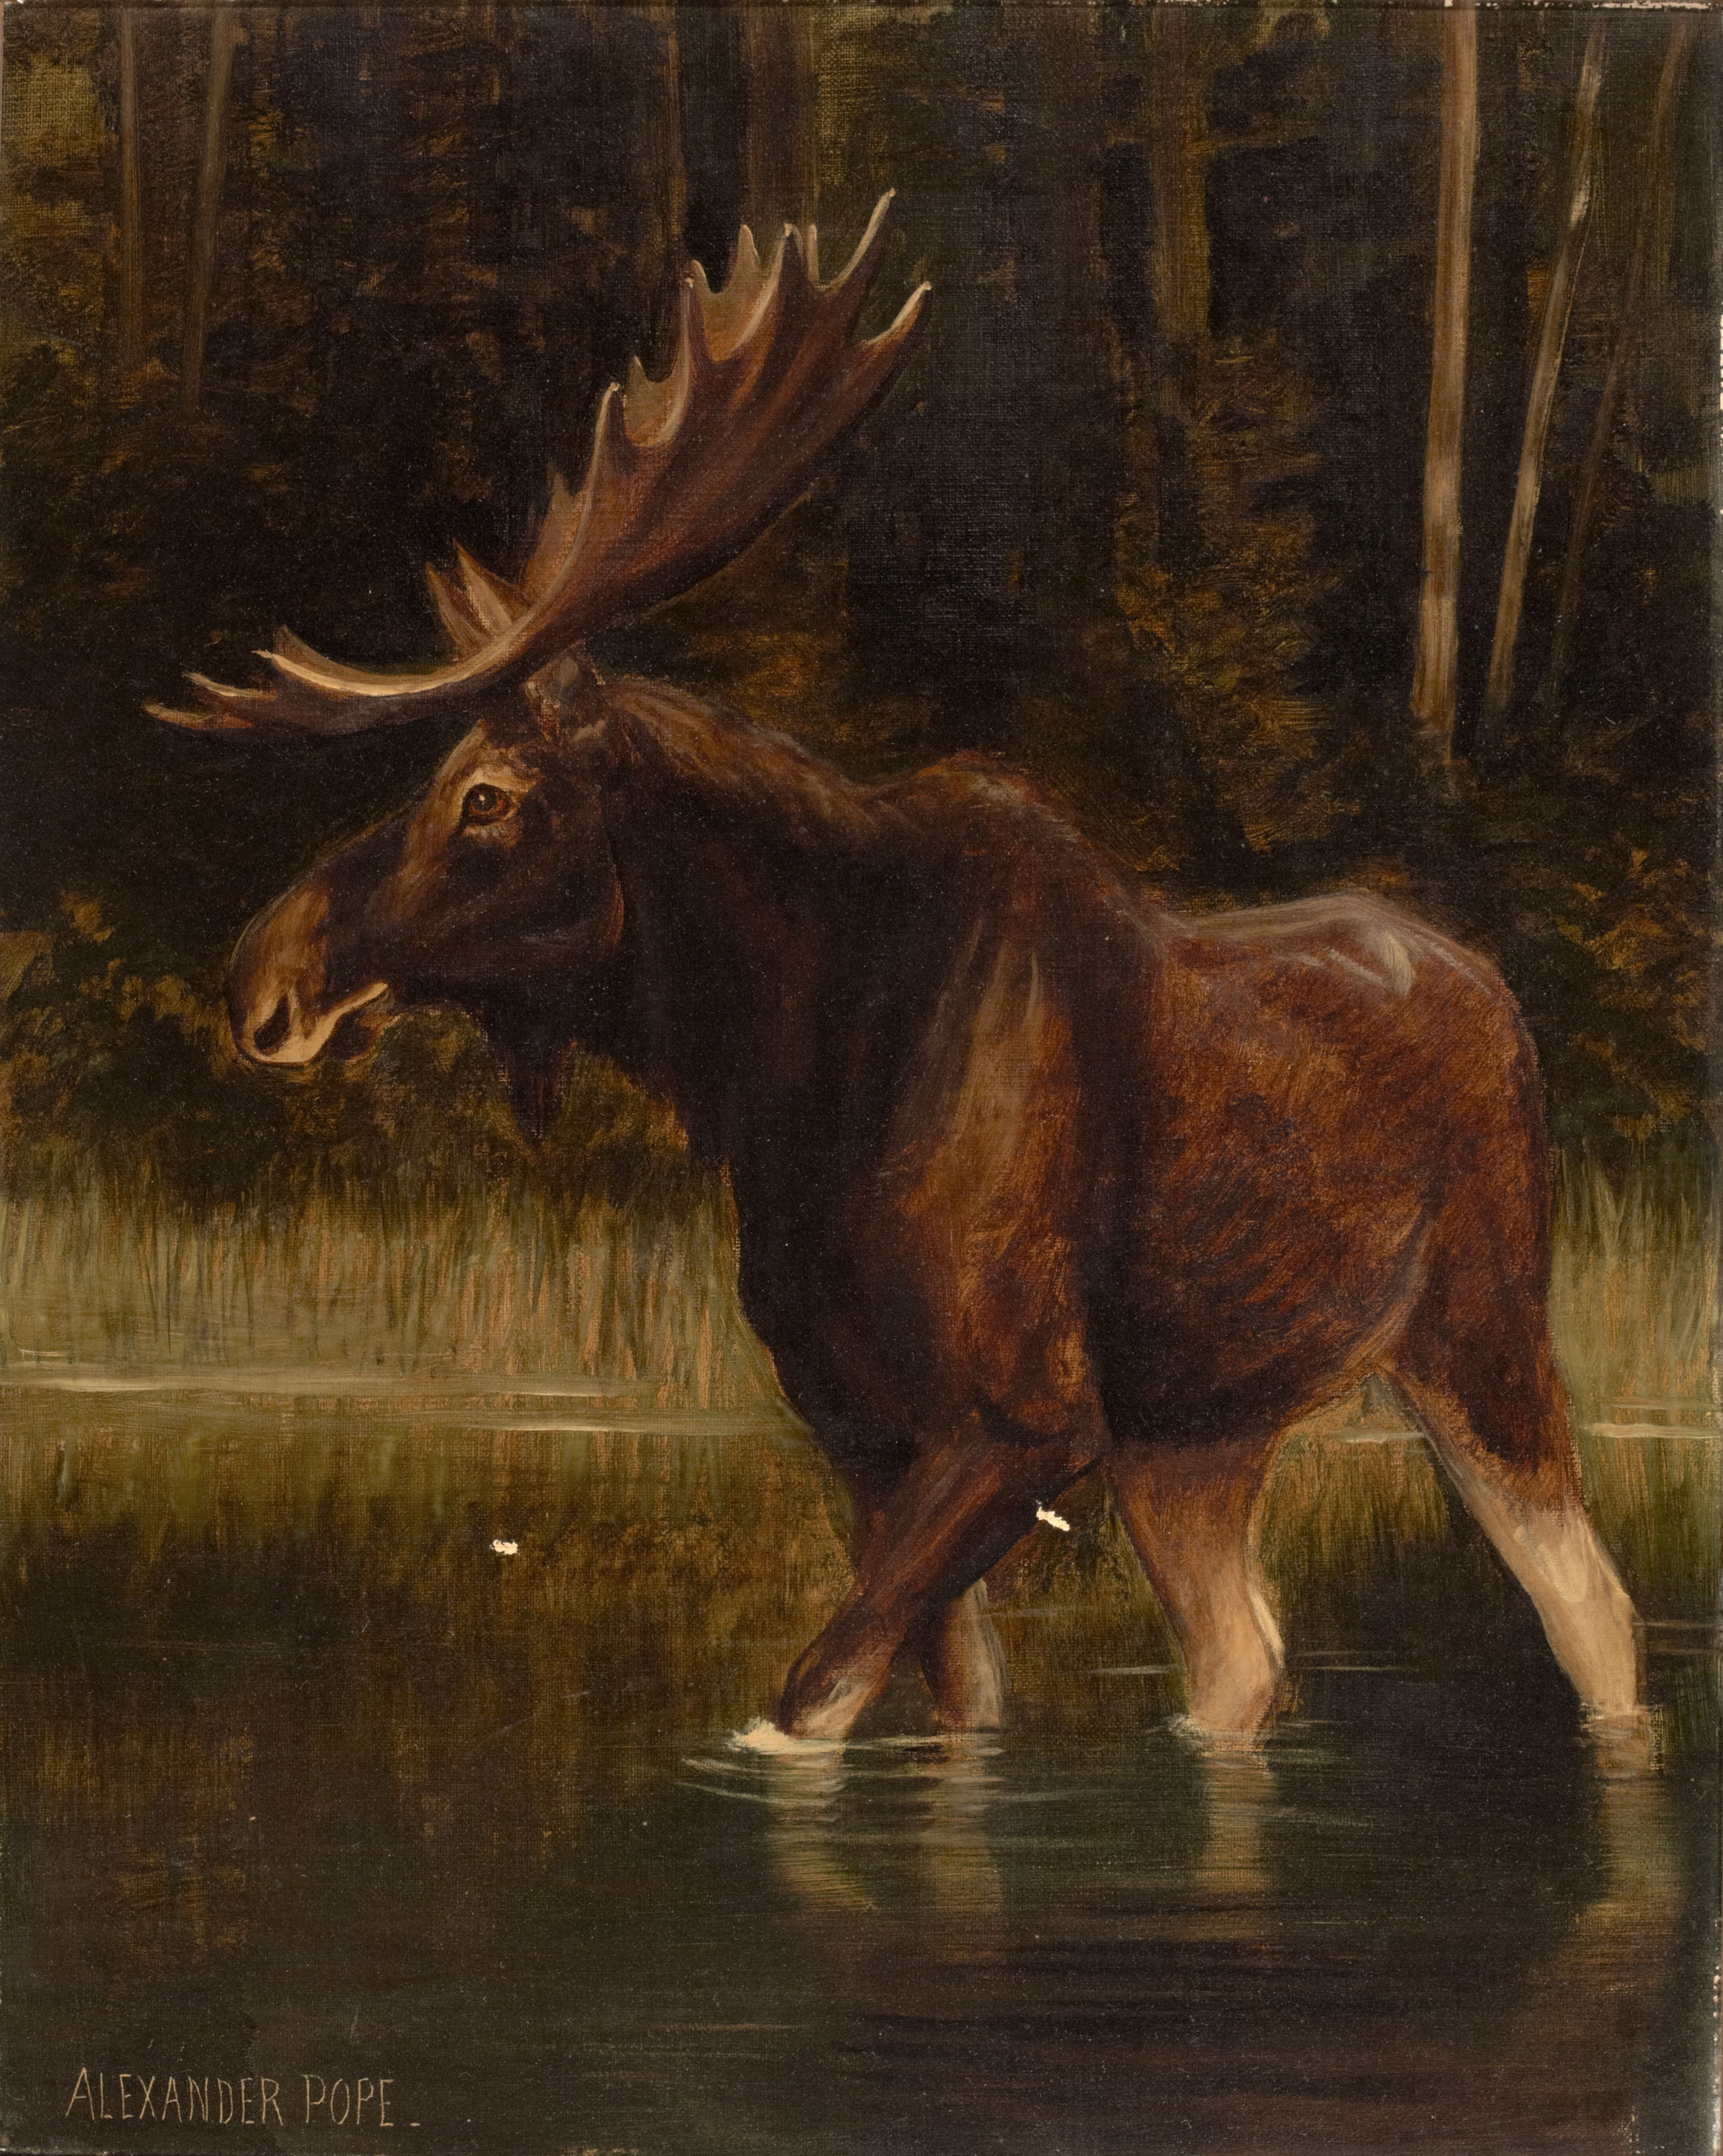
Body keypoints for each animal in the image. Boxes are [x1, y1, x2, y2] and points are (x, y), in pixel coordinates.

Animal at [152, 195, 1647, 1760]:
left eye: (487, 796)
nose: (262, 976)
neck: (791, 1065)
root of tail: (1490, 991)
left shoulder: (1021, 1416)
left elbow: (802, 1703)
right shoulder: (858, 1424)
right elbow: (951, 1709)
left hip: (1478, 1338)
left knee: (1593, 1615)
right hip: (1196, 1435)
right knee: (1243, 1661)